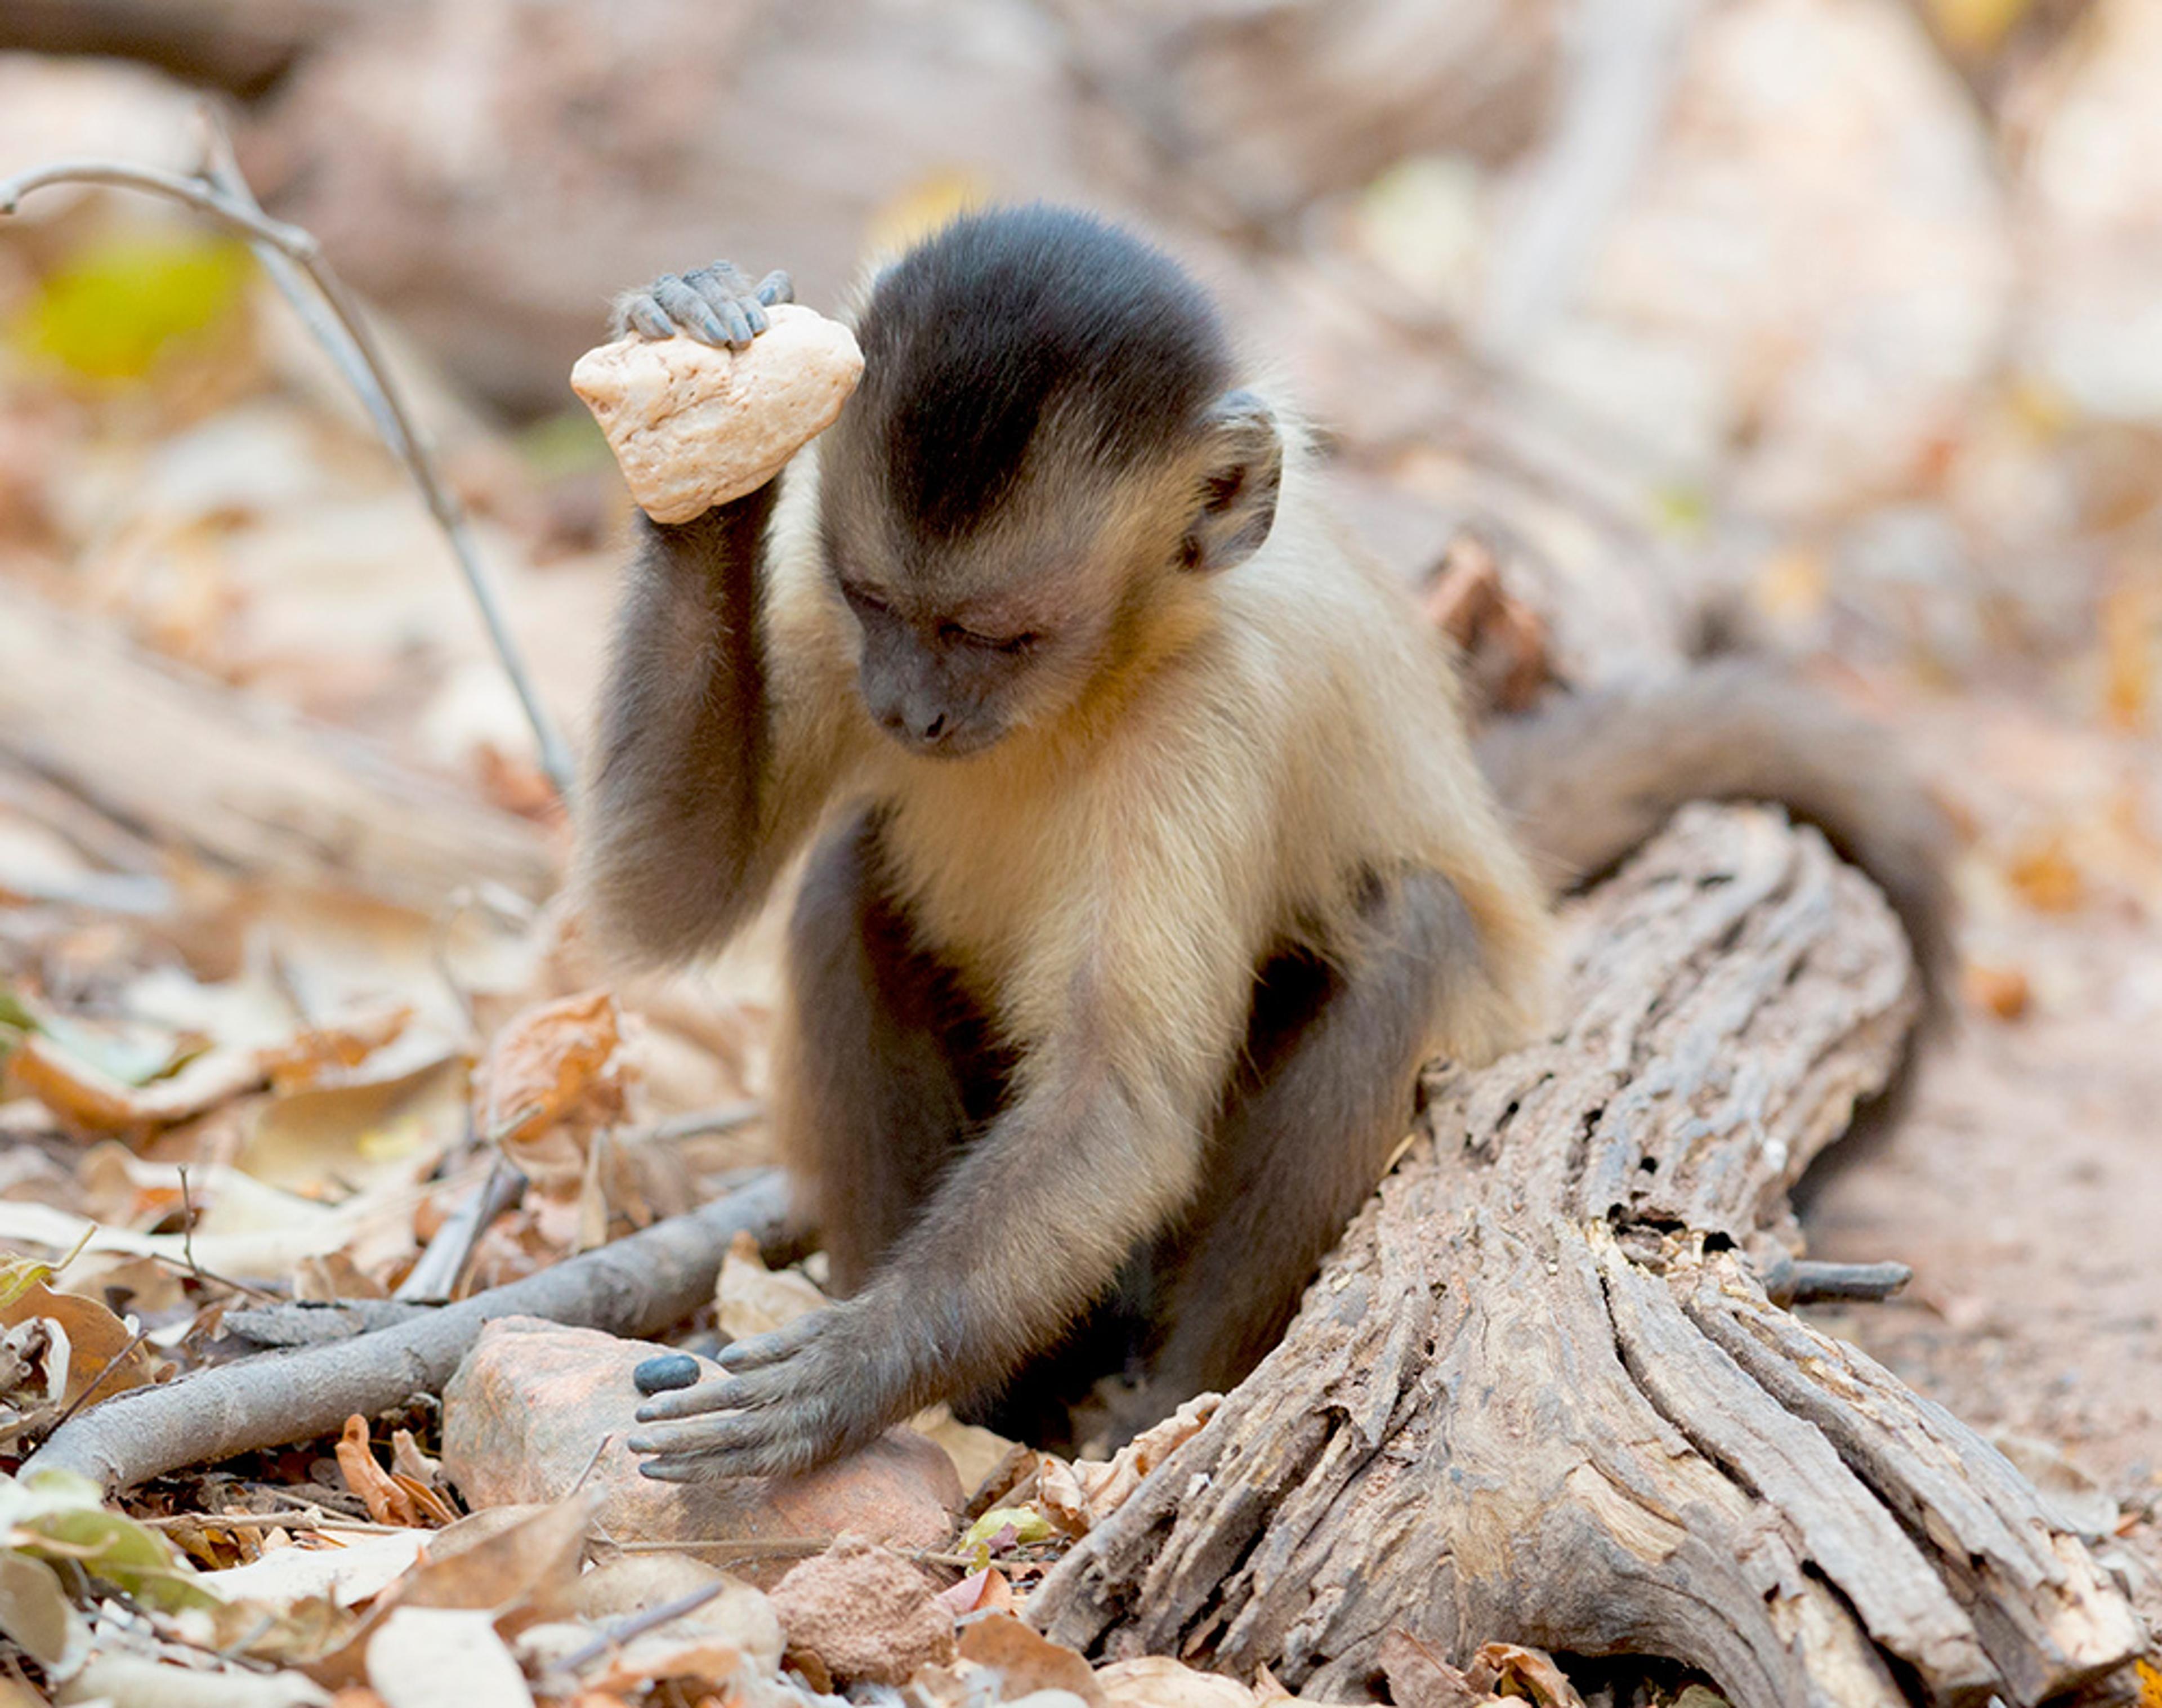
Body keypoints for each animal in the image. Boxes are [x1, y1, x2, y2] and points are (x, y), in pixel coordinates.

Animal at [576, 208, 1949, 1481]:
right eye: (878, 604)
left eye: (998, 637)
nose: (908, 711)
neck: (1112, 669)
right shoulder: (827, 625)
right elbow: (670, 893)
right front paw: (703, 407)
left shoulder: (1213, 711)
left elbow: (1119, 1104)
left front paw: (851, 1371)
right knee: (849, 881)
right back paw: (995, 1405)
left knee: (1410, 923)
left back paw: (1162, 1398)